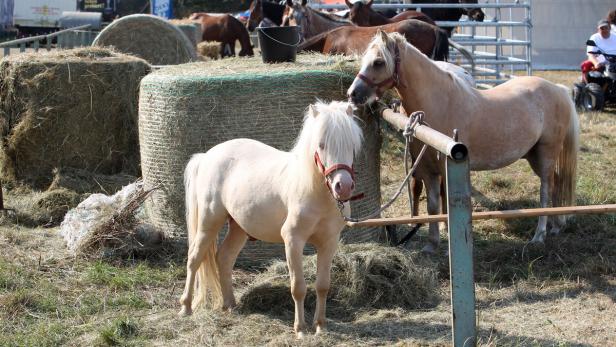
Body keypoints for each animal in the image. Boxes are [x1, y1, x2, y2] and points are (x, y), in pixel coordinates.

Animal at [178, 100, 364, 338]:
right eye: (321, 145)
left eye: (351, 145)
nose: (343, 187)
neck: (315, 192)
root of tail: (206, 156)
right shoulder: (293, 241)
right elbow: (298, 287)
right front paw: (300, 329)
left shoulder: (329, 242)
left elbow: (323, 285)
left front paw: (320, 326)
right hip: (209, 221)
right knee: (194, 258)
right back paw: (186, 307)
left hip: (238, 227)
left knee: (225, 258)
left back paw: (230, 305)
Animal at [348, 32, 580, 250]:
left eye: (378, 62)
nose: (353, 94)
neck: (440, 103)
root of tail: (558, 90)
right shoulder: (427, 170)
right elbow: (432, 206)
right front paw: (432, 244)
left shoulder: (446, 168)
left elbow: (447, 206)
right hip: (534, 156)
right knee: (557, 182)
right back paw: (556, 226)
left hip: (546, 154)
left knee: (545, 191)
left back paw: (539, 236)